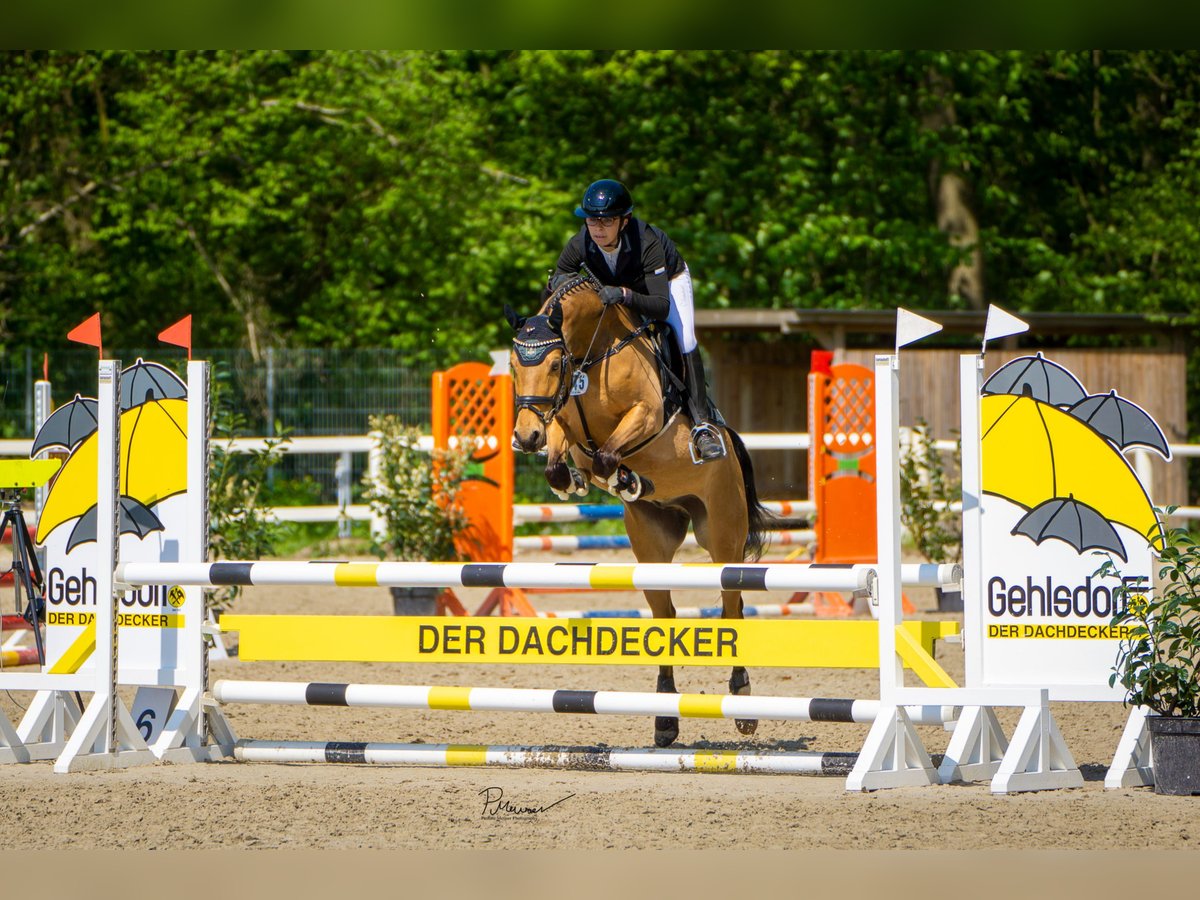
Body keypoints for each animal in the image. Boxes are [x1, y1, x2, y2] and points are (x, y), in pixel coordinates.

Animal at [504, 271, 768, 748]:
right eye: (514, 365)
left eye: (553, 365)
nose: (527, 436)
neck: (591, 354)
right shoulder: (565, 424)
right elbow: (563, 462)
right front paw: (577, 480)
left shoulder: (644, 415)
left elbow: (609, 455)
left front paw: (625, 479)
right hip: (651, 543)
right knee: (666, 615)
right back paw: (665, 720)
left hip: (722, 533)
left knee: (732, 605)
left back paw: (742, 703)